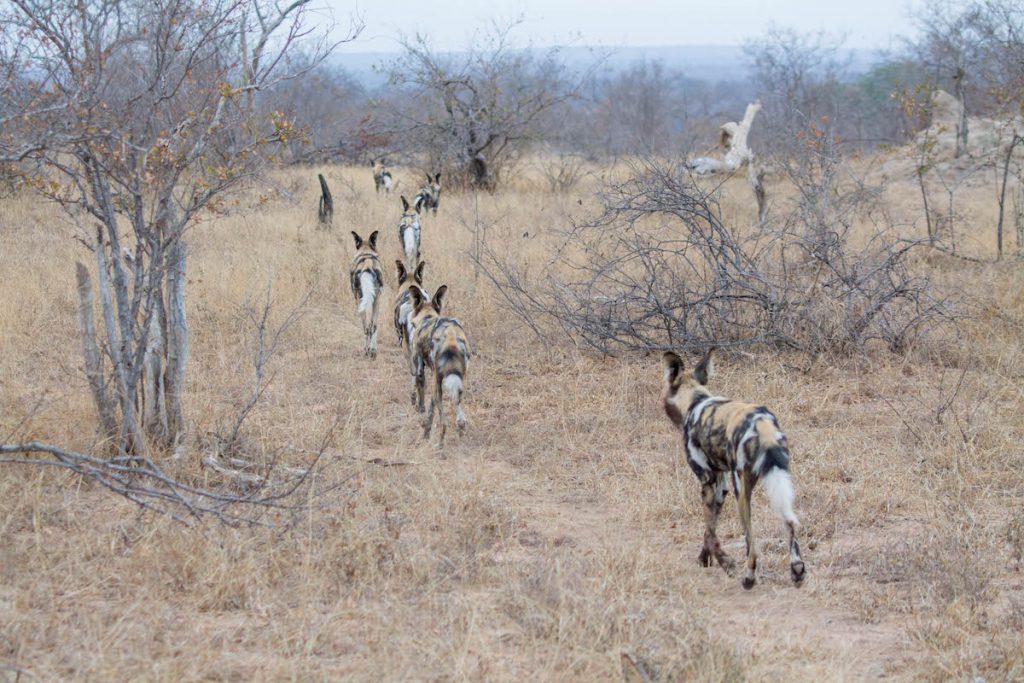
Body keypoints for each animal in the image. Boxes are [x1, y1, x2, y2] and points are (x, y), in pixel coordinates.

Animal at [350, 229, 385, 358]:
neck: (366, 253)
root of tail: (367, 264)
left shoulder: (358, 300)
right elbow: (373, 325)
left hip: (360, 302)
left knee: (365, 327)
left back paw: (366, 350)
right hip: (377, 300)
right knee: (373, 326)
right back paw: (373, 351)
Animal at [407, 282, 471, 444]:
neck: (427, 317)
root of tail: (450, 334)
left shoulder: (421, 372)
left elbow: (423, 404)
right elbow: (431, 409)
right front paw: (426, 432)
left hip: (437, 381)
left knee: (444, 421)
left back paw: (440, 444)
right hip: (458, 379)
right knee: (459, 412)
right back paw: (460, 431)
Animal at [663, 350, 806, 589]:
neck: (696, 400)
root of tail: (761, 423)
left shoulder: (708, 481)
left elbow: (711, 531)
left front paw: (725, 563)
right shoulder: (720, 486)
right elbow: (710, 529)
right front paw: (705, 558)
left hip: (742, 489)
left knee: (752, 543)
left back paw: (748, 578)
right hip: (777, 478)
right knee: (790, 523)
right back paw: (797, 571)